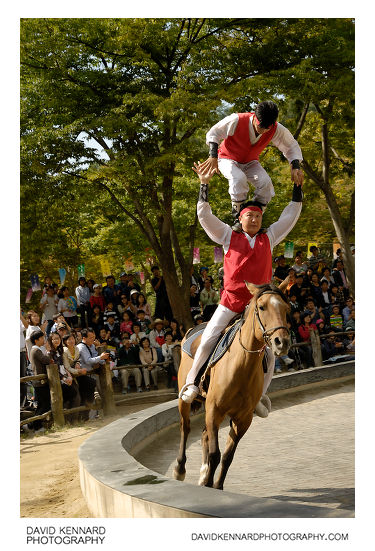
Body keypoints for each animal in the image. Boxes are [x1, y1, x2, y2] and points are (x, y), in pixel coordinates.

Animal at [173, 282, 290, 490]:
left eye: (286, 309)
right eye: (262, 307)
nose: (281, 342)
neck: (242, 365)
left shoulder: (243, 419)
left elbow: (227, 456)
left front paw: (216, 486)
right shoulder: (214, 410)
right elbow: (215, 454)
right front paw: (209, 485)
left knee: (204, 435)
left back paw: (203, 473)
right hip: (185, 401)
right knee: (185, 427)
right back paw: (180, 468)